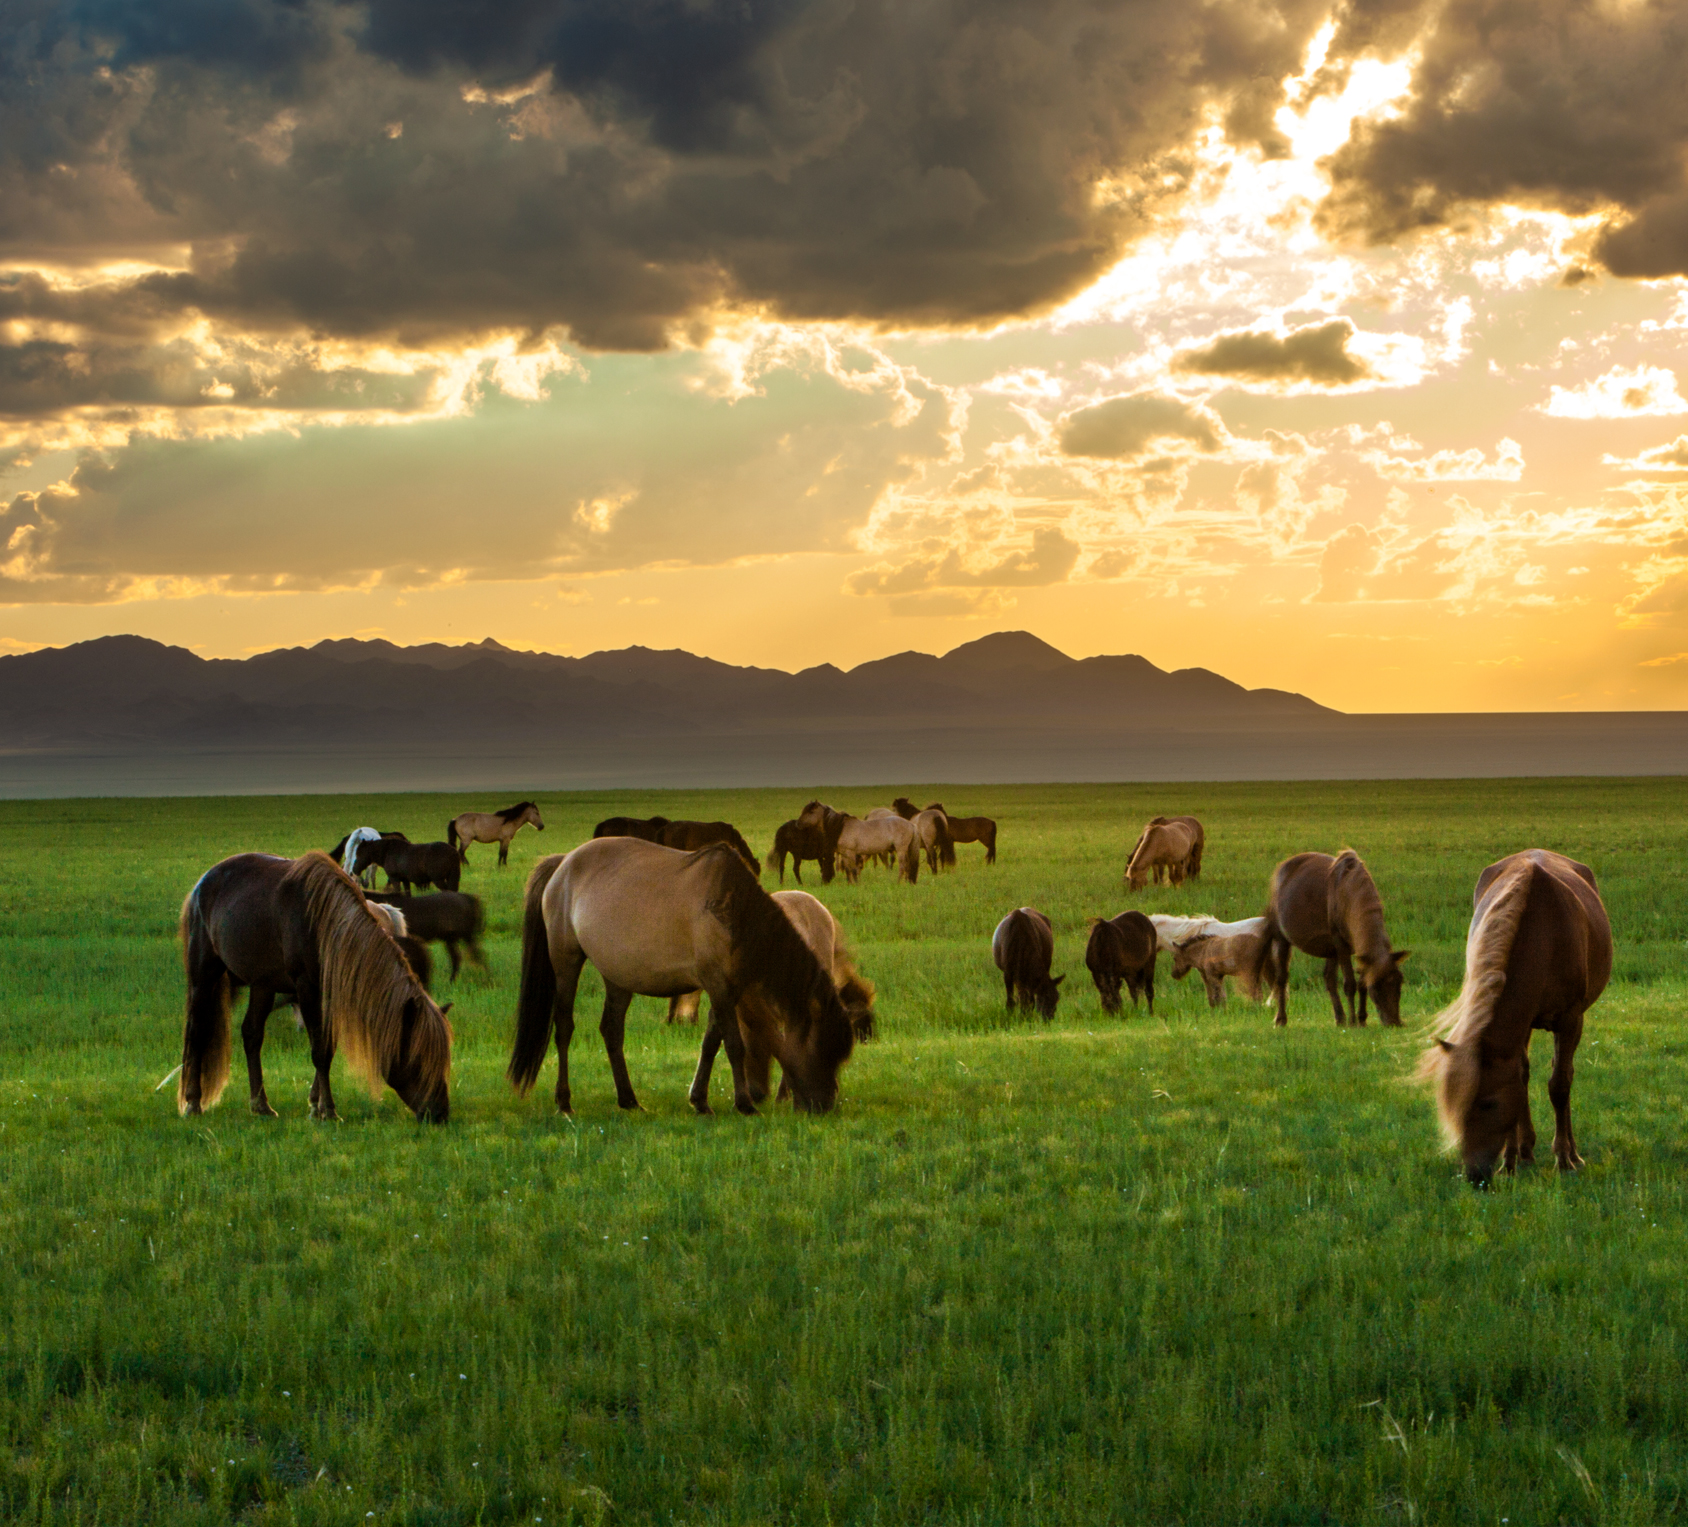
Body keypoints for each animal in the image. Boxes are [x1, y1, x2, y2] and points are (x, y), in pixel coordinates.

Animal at [179, 850, 455, 1127]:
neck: (327, 926)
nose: (439, 1113)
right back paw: (193, 1102)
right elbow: (319, 1051)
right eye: (419, 1059)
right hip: (204, 973)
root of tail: (202, 883)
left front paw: (316, 1104)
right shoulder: (307, 988)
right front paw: (329, 1110)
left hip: (263, 983)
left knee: (252, 1034)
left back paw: (260, 1104)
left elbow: (327, 1047)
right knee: (197, 1031)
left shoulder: (329, 995)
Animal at [506, 840, 857, 1113]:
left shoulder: (727, 989)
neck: (734, 909)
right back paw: (564, 1101)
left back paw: (628, 1099)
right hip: (566, 961)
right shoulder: (718, 985)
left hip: (618, 976)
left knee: (612, 1031)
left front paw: (700, 1100)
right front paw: (744, 1103)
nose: (825, 1104)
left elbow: (711, 1042)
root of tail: (564, 862)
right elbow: (734, 1044)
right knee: (564, 1027)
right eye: (820, 1047)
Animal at [1255, 847, 1411, 1025]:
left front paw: (1362, 1019)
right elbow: (1350, 984)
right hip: (1282, 939)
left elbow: (1361, 982)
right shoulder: (1341, 945)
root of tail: (1281, 869)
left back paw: (1340, 1017)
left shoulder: (1357, 950)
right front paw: (1353, 1022)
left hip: (1330, 949)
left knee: (1329, 979)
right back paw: (1281, 1019)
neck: (1349, 893)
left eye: (1399, 983)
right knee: (1281, 978)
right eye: (1376, 988)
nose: (1395, 1022)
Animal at [1417, 850, 1613, 1187]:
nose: (1475, 1176)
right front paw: (1511, 1160)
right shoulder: (1519, 1026)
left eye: (1489, 1104)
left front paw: (1564, 1158)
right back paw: (1525, 1152)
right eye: (1458, 1106)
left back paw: (1571, 1153)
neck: (1543, 934)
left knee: (1565, 1075)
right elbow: (1519, 1081)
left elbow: (1559, 1085)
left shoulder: (1570, 1020)